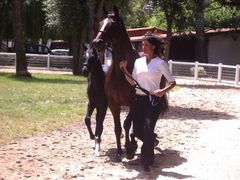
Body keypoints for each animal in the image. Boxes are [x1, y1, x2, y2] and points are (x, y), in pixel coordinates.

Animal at [92, 5, 169, 162]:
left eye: (113, 25)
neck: (121, 72)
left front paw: (129, 149)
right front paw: (119, 152)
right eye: (100, 23)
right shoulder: (113, 104)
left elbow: (127, 124)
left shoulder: (133, 102)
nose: (97, 43)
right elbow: (118, 128)